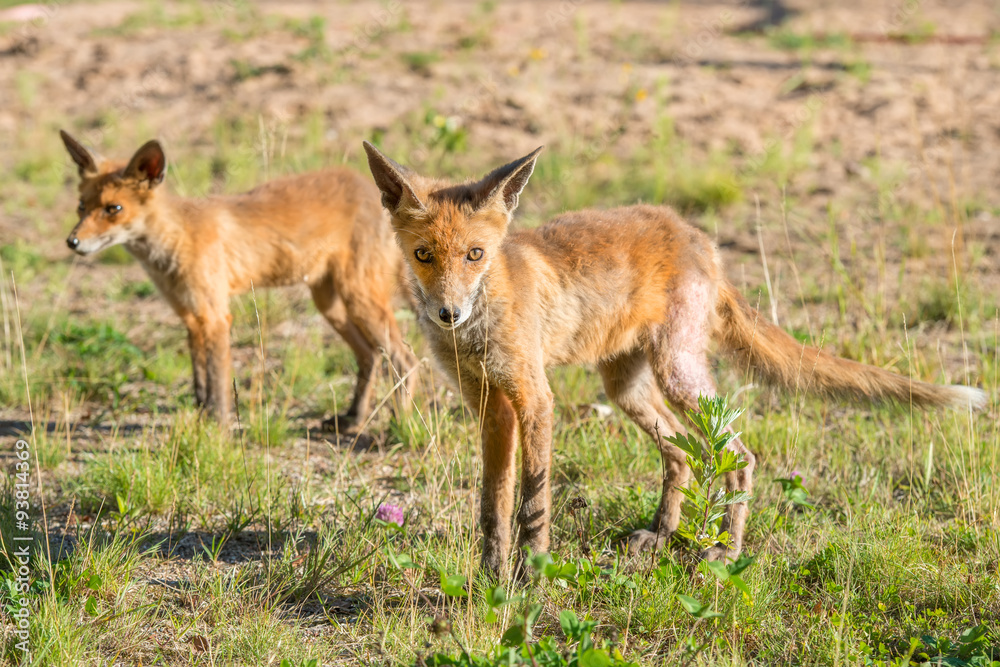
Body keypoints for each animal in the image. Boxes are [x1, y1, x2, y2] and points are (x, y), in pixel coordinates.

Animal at [60, 130, 417, 428]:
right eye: (81, 206)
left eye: (113, 209)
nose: (72, 242)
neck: (179, 240)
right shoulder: (191, 317)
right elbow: (200, 384)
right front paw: (202, 421)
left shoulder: (216, 316)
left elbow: (218, 384)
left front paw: (218, 429)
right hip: (329, 304)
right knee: (371, 356)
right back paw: (353, 419)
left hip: (359, 298)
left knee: (404, 359)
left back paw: (400, 427)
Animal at [362, 140, 987, 575]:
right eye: (423, 255)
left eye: (475, 254)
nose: (448, 314)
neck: (476, 333)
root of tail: (698, 236)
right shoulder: (489, 405)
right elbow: (493, 503)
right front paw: (492, 575)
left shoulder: (534, 398)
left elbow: (532, 500)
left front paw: (531, 573)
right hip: (628, 387)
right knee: (681, 453)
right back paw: (662, 535)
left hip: (679, 374)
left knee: (741, 454)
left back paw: (725, 551)